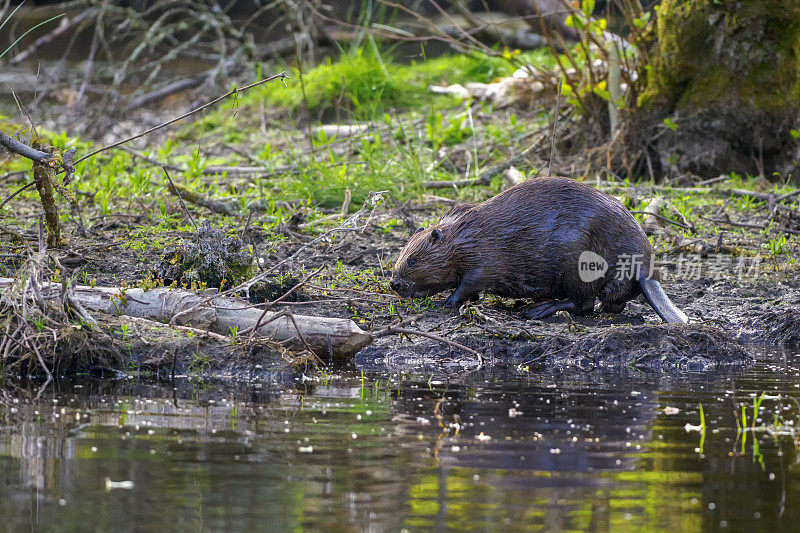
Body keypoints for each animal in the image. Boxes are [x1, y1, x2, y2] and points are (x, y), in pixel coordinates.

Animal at [390, 177, 688, 322]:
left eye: (413, 261)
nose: (394, 284)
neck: (464, 235)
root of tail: (646, 270)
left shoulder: (484, 259)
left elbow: (469, 283)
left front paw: (445, 301)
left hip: (578, 261)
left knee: (583, 304)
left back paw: (537, 309)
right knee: (609, 303)